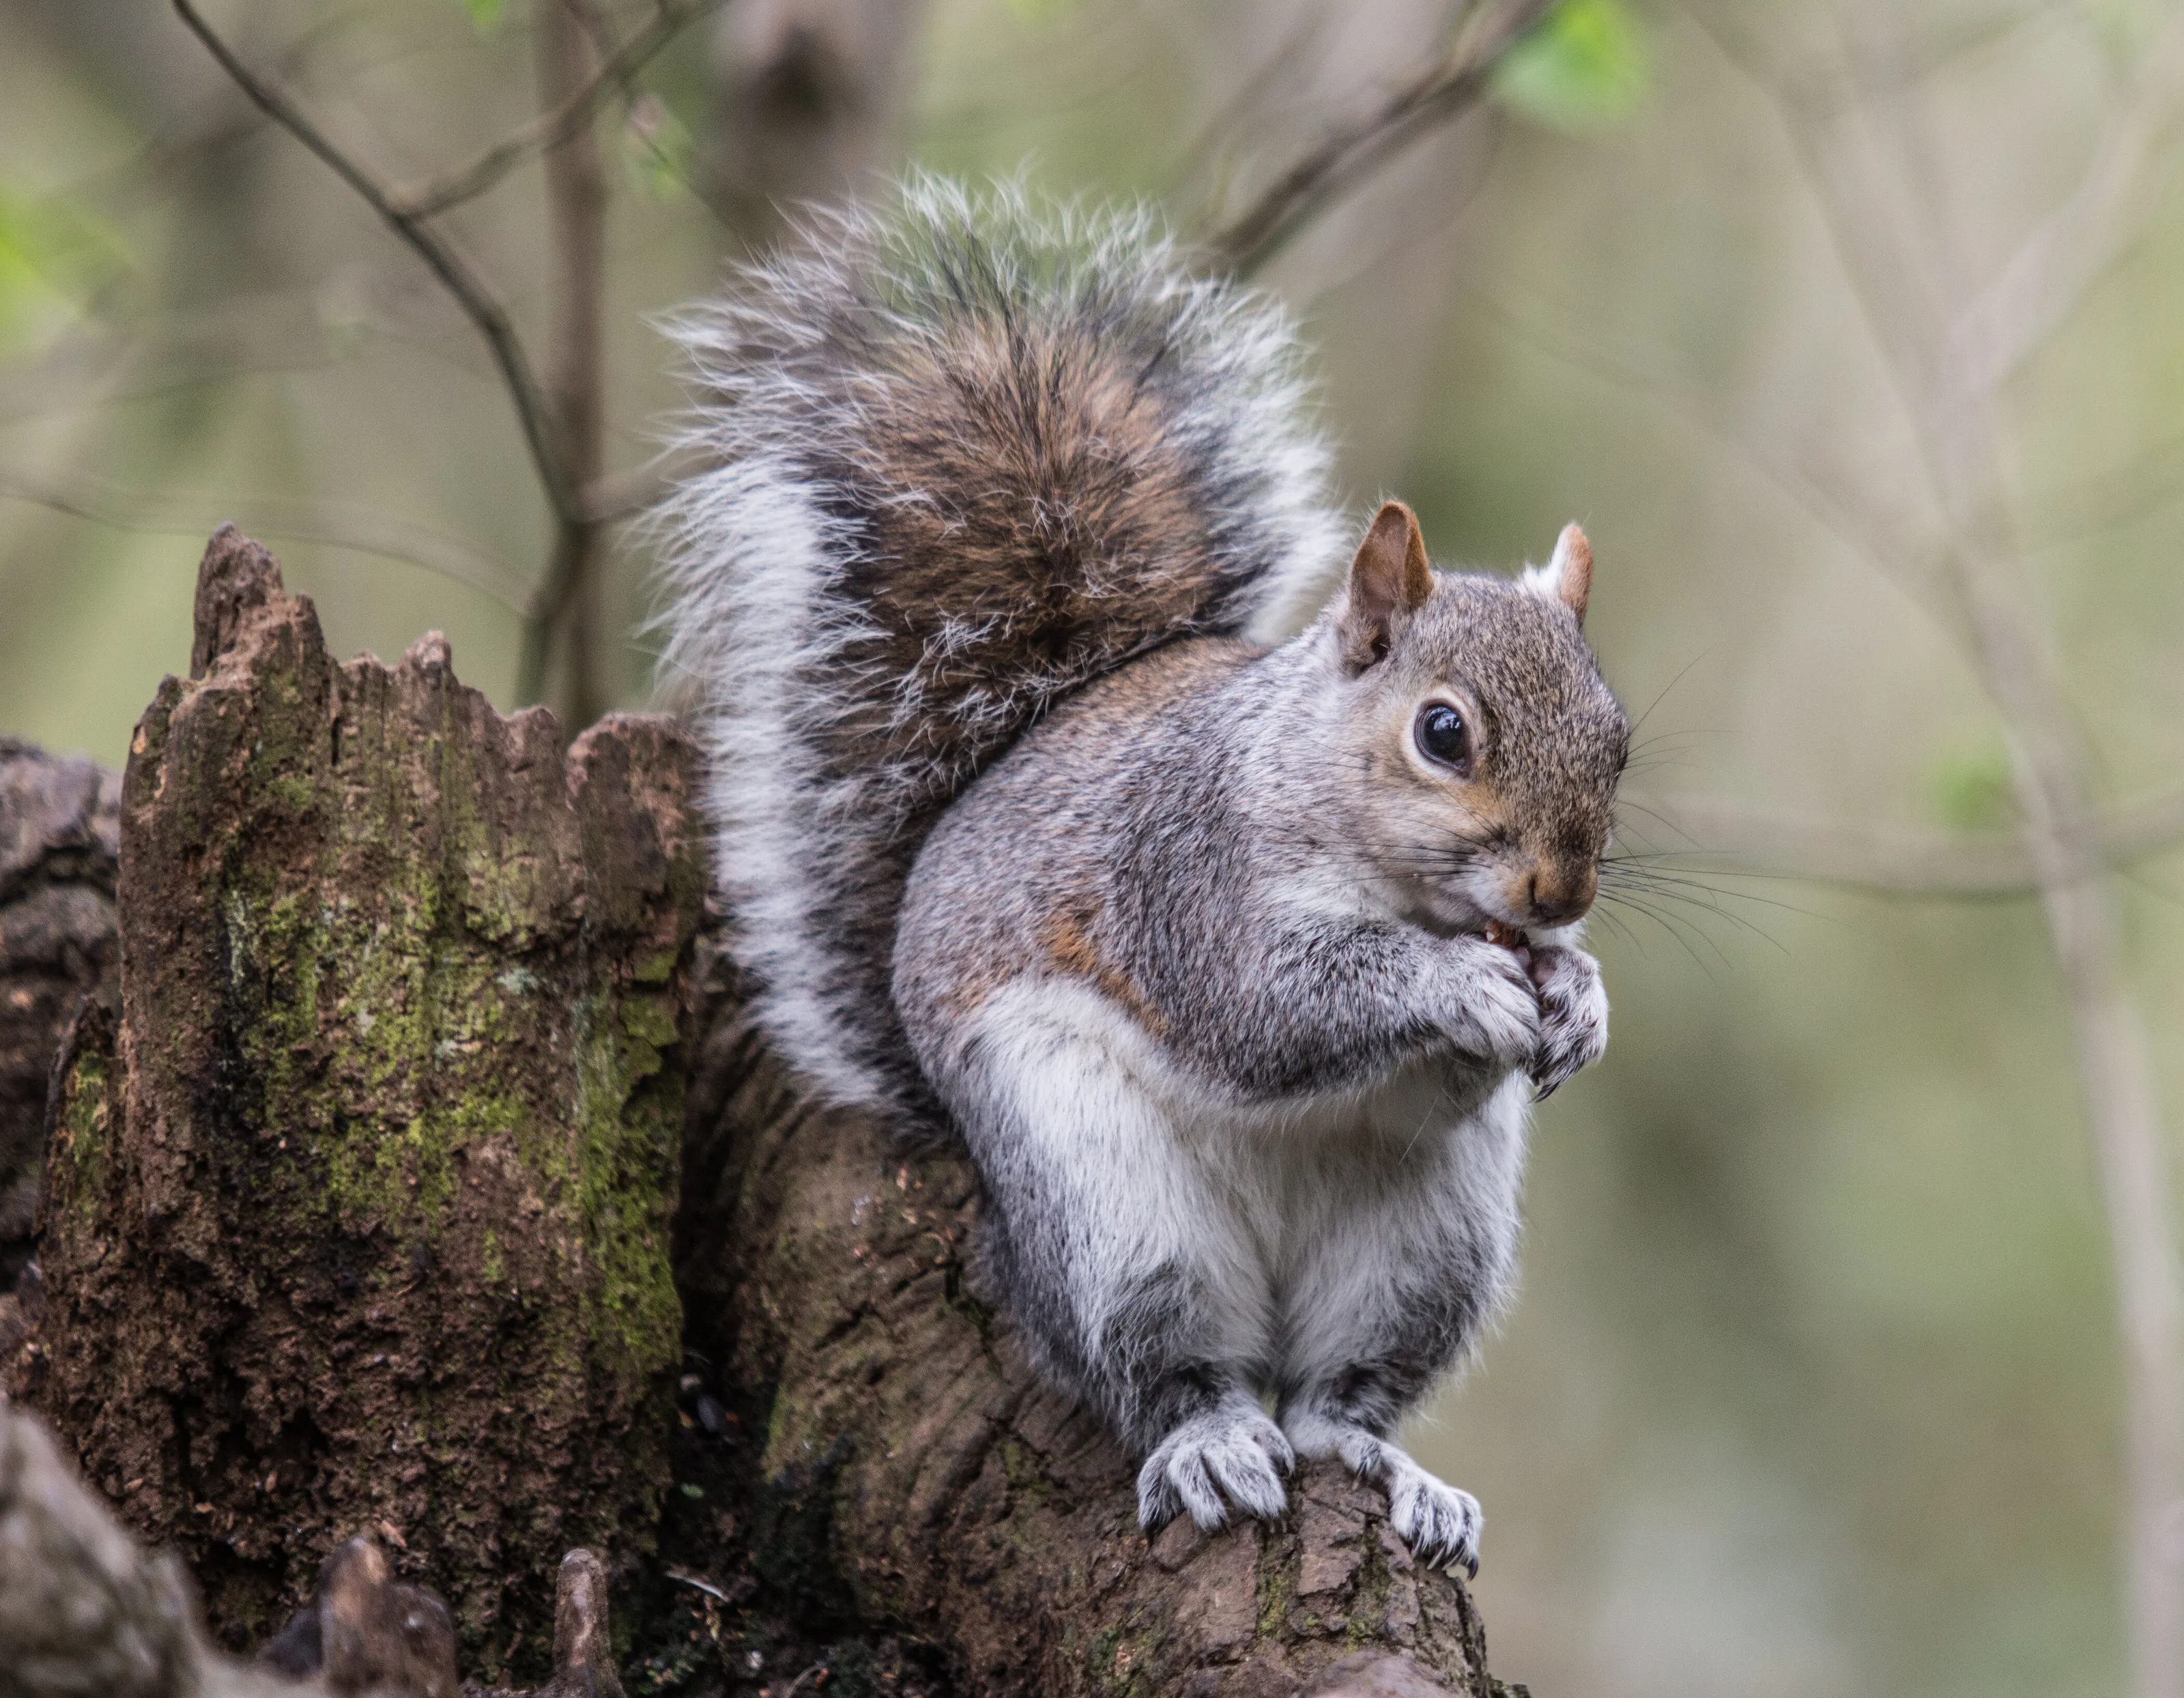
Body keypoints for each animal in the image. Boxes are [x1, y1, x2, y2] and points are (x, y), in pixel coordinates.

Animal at [656, 179, 1630, 1575]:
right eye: (1443, 732)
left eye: (1620, 740)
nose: (1559, 894)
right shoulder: (1186, 879)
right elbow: (1271, 1003)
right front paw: (1461, 986)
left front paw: (1582, 1000)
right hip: (1108, 1206)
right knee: (1162, 1367)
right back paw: (1212, 1441)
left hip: (1423, 1251)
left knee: (1335, 1401)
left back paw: (1391, 1468)